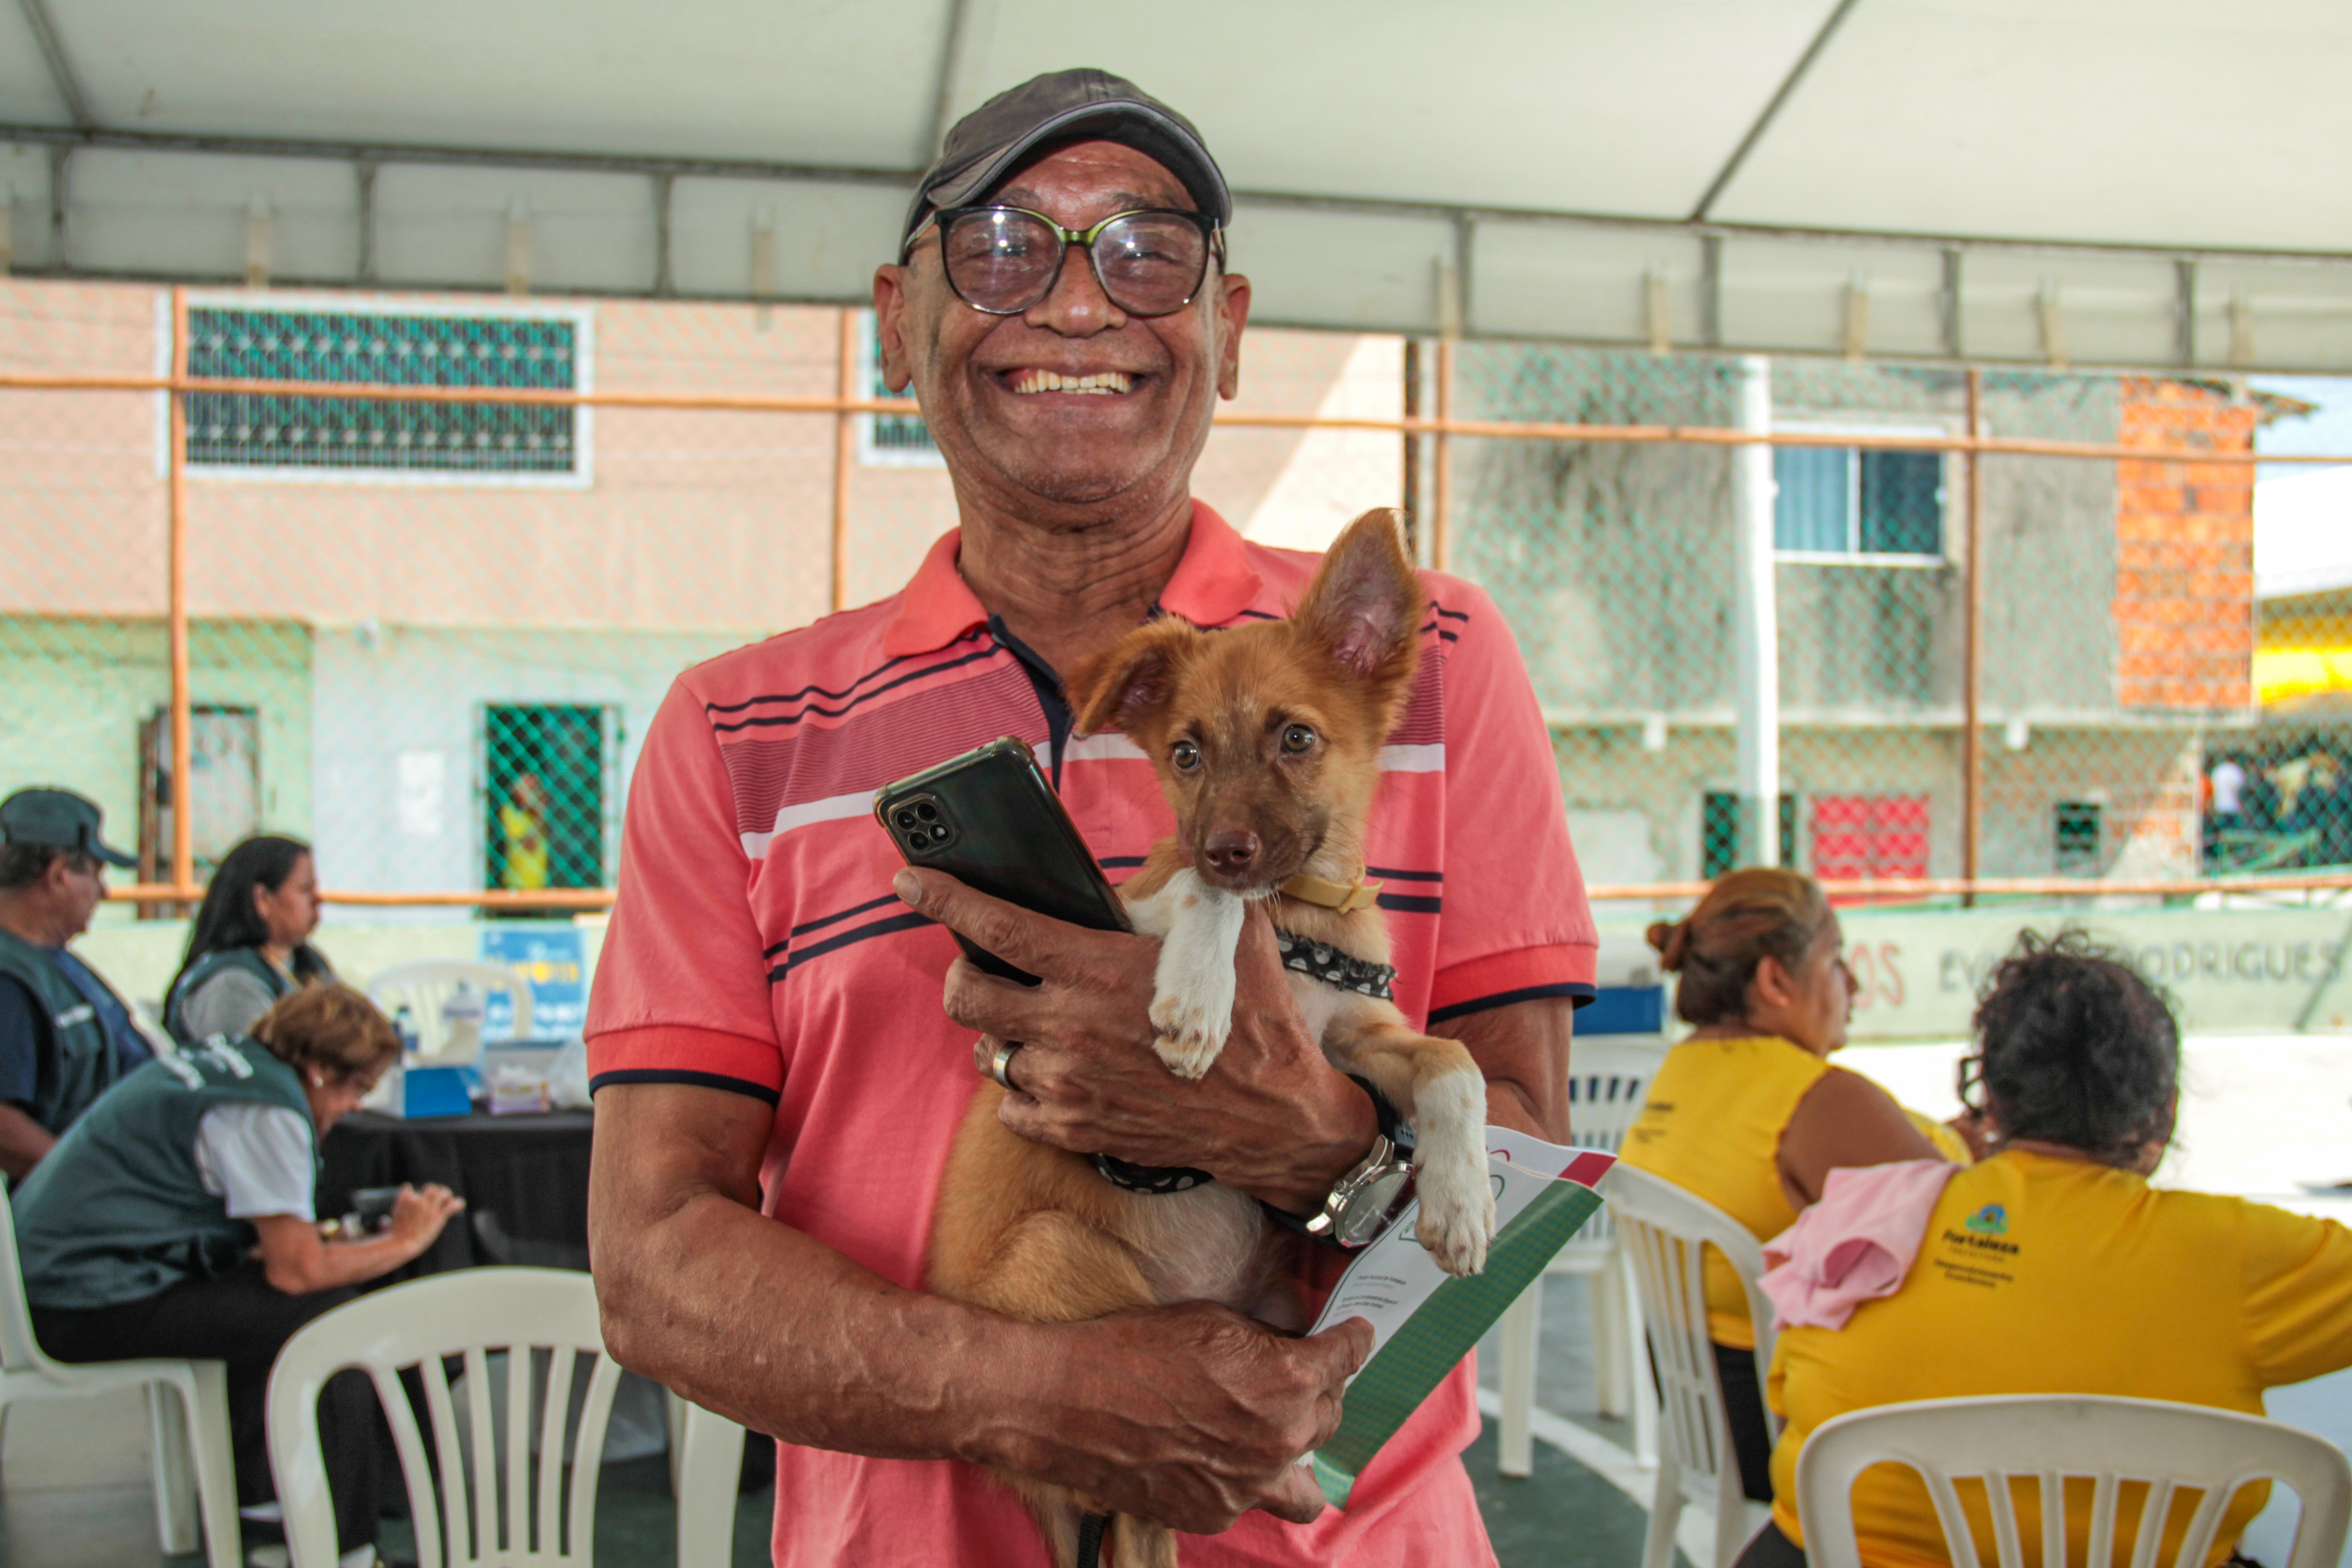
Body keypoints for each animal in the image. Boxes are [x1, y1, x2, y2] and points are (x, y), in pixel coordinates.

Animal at [931, 510, 1496, 1561]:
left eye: (1297, 737)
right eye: (1186, 754)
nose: (1227, 845)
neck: (1300, 915)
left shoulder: (1356, 1035)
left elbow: (1455, 1063)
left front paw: (1463, 1199)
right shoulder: (1131, 910)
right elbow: (1202, 897)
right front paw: (1197, 995)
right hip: (1062, 1270)